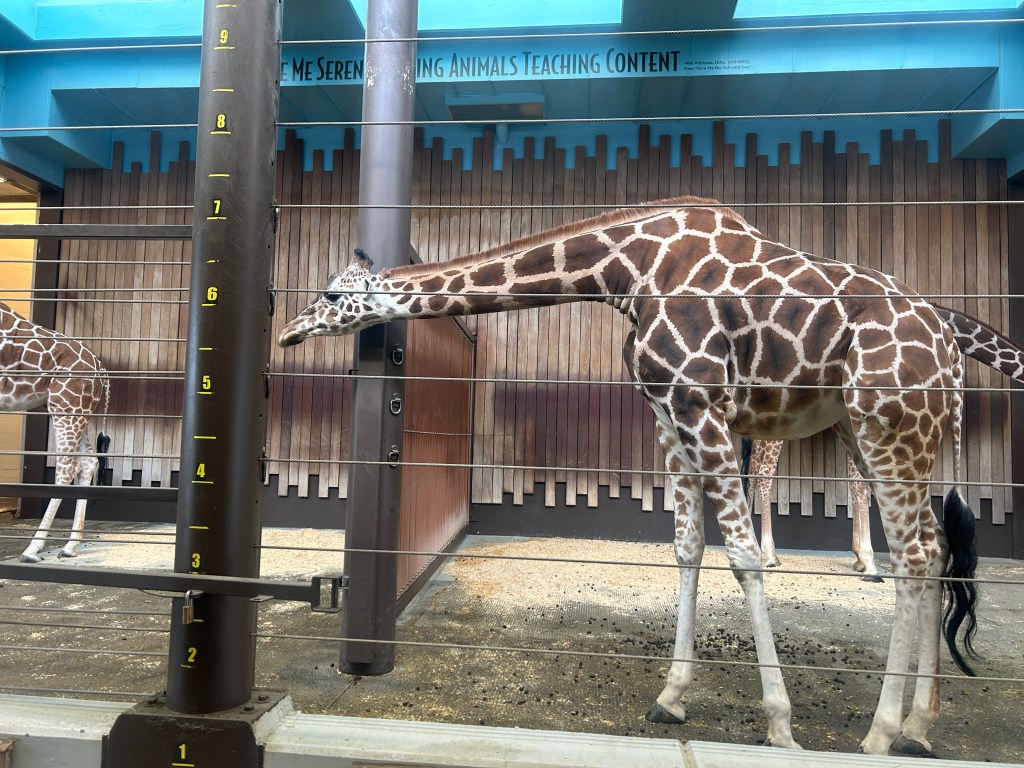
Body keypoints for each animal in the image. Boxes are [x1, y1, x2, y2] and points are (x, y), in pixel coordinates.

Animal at [0, 302, 111, 563]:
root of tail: (101, 371)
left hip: (66, 407)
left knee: (66, 466)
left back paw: (32, 549)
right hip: (78, 411)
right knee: (88, 462)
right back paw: (70, 546)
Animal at [279, 196, 979, 757]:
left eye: (332, 295)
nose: (287, 331)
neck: (627, 270)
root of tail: (950, 352)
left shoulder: (703, 404)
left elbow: (744, 557)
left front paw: (780, 726)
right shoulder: (668, 414)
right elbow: (687, 547)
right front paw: (671, 697)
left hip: (888, 426)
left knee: (915, 555)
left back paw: (881, 733)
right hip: (887, 435)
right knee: (937, 545)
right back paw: (921, 726)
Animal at [744, 305, 1024, 577]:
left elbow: (857, 482)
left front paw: (859, 557)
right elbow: (861, 484)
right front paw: (867, 561)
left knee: (753, 467)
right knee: (764, 472)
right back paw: (769, 555)